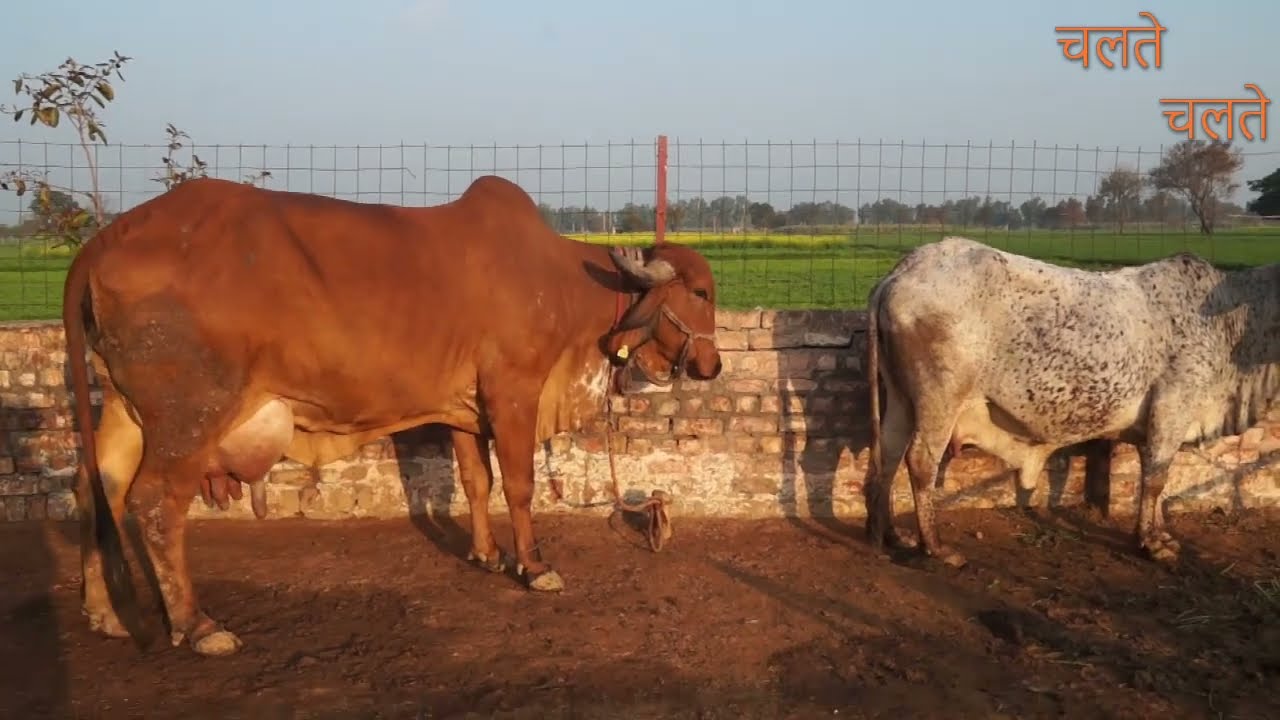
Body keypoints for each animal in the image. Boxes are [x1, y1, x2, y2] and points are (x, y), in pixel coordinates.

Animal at [62, 175, 723, 657]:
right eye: (702, 293)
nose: (713, 365)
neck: (567, 286)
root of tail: (107, 238)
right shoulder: (513, 393)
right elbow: (519, 484)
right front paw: (534, 567)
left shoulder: (464, 407)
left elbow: (476, 482)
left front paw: (485, 554)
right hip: (188, 417)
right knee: (153, 502)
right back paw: (198, 625)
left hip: (123, 408)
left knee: (97, 487)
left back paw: (103, 613)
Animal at [864, 236, 1279, 568]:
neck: (1231, 323)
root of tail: (901, 271)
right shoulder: (1172, 406)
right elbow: (1156, 479)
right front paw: (1152, 544)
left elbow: (1154, 479)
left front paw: (1160, 534)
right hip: (940, 398)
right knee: (920, 461)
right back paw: (934, 548)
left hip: (900, 398)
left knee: (888, 455)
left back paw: (889, 534)